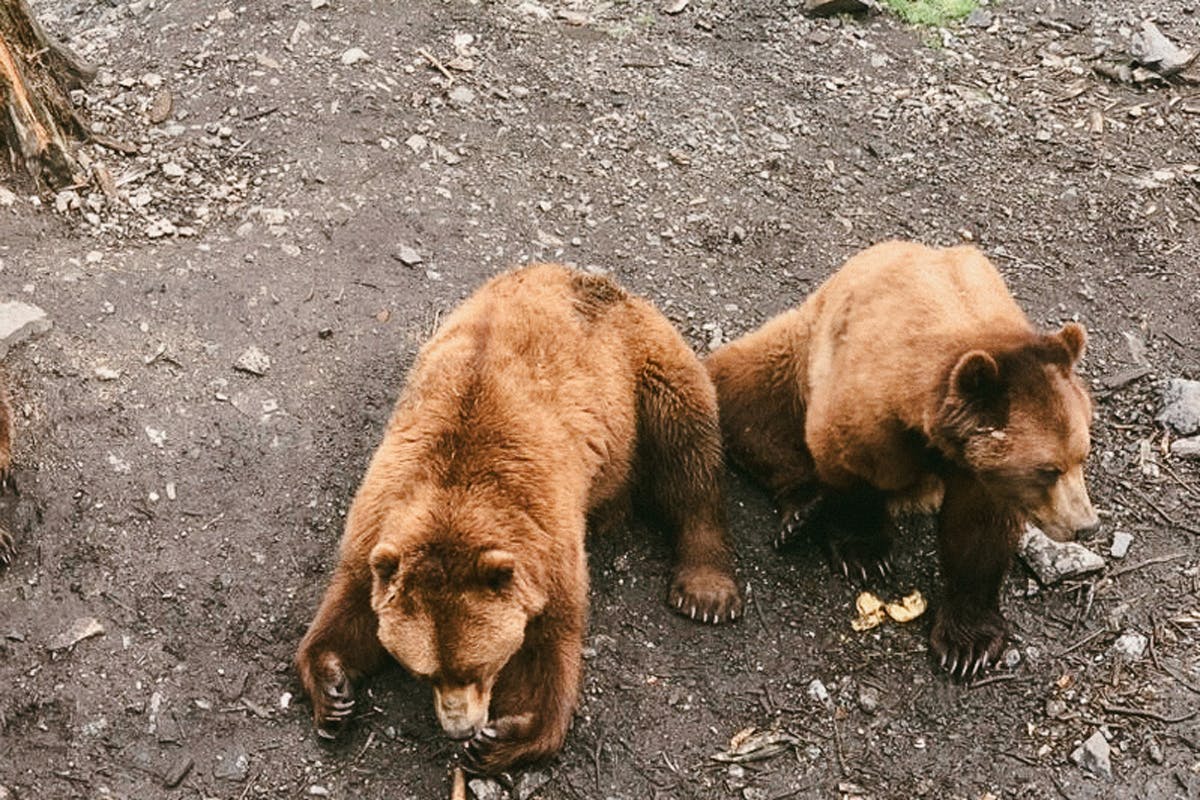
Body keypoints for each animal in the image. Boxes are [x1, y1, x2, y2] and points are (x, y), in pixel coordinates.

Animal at [295, 263, 743, 773]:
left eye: (480, 666)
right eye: (423, 671)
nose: (460, 729)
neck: (455, 499)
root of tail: (581, 274)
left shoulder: (546, 543)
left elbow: (547, 647)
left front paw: (506, 735)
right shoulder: (378, 528)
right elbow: (349, 611)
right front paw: (333, 691)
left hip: (646, 365)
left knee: (687, 451)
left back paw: (706, 591)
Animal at [705, 240, 1098, 679]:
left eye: (1081, 455)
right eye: (1048, 469)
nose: (1086, 525)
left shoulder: (978, 470)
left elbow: (978, 534)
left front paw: (968, 645)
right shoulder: (866, 403)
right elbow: (852, 466)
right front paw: (864, 554)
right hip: (796, 352)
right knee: (746, 396)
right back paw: (802, 511)